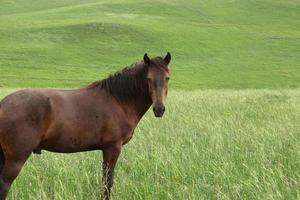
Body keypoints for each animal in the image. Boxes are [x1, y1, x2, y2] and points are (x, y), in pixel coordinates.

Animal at [0, 52, 171, 199]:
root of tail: (3, 104)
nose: (159, 109)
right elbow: (107, 183)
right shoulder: (112, 148)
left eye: (168, 78)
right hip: (16, 159)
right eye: (149, 79)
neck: (118, 100)